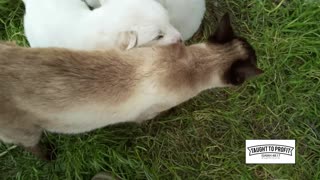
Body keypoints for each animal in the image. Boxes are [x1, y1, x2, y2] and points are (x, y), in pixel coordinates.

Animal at [0, 14, 262, 160]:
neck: (190, 64)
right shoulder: (148, 113)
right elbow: (150, 119)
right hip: (26, 132)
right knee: (32, 147)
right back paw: (50, 158)